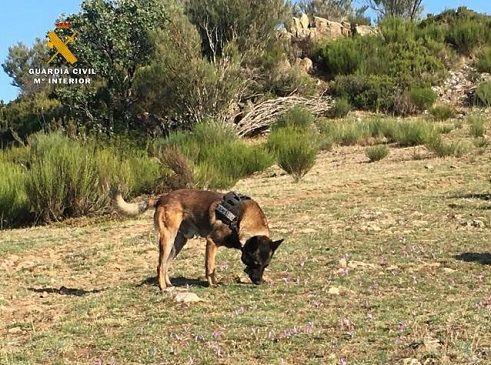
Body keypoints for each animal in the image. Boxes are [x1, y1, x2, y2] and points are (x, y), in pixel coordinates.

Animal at [113, 188, 282, 290]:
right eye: (255, 263)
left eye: (265, 265)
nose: (259, 282)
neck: (241, 218)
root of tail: (162, 198)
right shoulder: (211, 242)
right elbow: (210, 267)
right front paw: (212, 284)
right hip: (167, 238)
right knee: (160, 265)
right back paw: (163, 288)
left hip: (178, 243)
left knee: (166, 264)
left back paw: (169, 284)